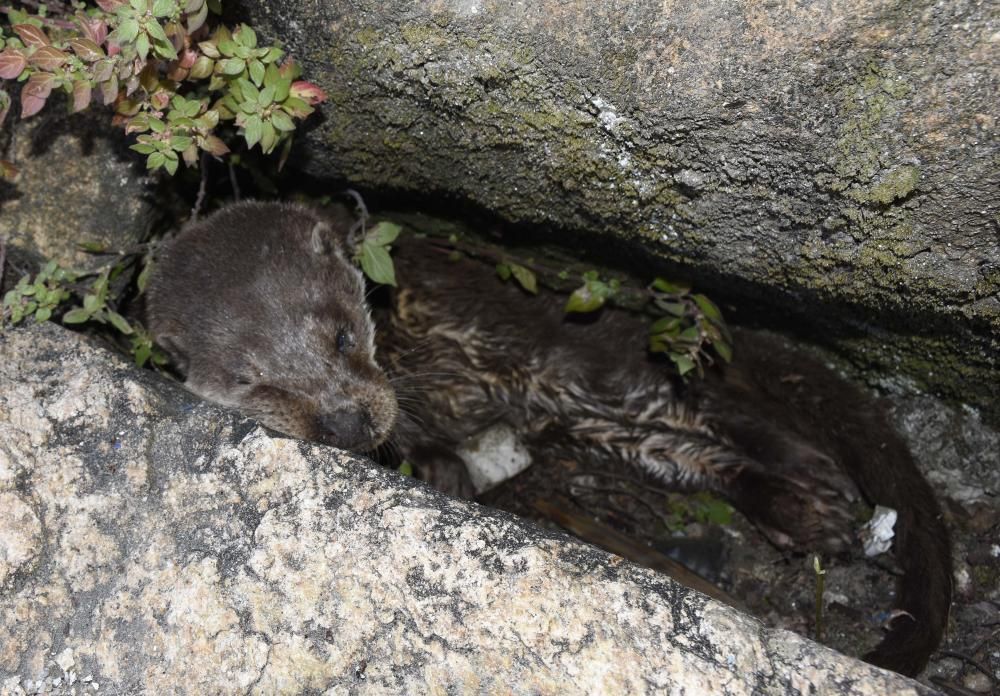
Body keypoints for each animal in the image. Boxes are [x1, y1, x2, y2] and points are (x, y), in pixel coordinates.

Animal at [145, 200, 948, 676]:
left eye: (342, 335)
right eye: (253, 383)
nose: (344, 422)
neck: (424, 348)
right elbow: (417, 439)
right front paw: (438, 469)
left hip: (585, 368)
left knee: (710, 407)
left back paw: (813, 491)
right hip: (604, 423)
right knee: (689, 448)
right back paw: (797, 510)